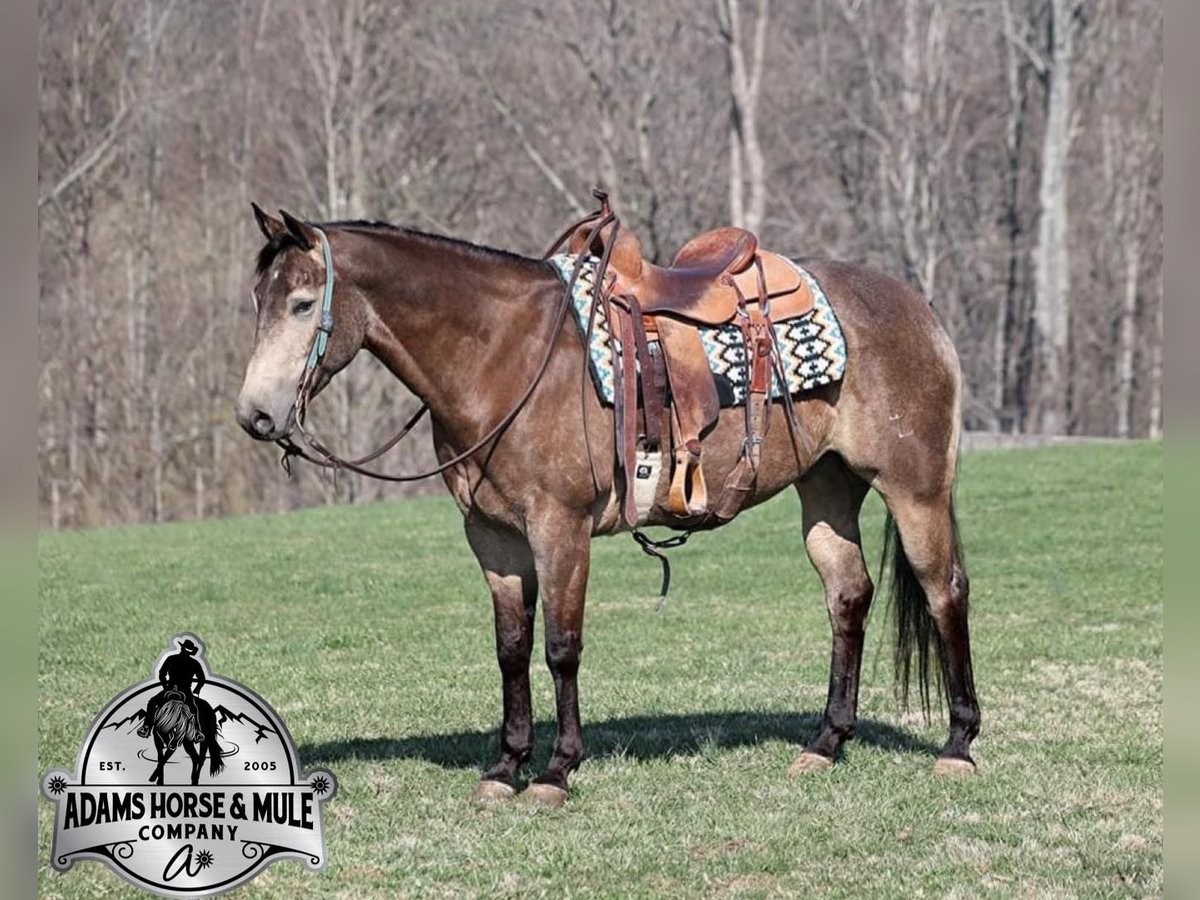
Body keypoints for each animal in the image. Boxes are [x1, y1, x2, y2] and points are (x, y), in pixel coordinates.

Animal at [231, 194, 974, 806]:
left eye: (302, 304)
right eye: (258, 302)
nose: (255, 416)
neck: (504, 355)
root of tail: (918, 307)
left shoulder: (559, 527)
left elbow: (561, 645)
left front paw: (556, 771)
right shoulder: (492, 536)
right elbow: (510, 646)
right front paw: (505, 767)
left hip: (914, 488)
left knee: (945, 591)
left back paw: (959, 746)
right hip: (827, 486)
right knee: (848, 595)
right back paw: (824, 744)